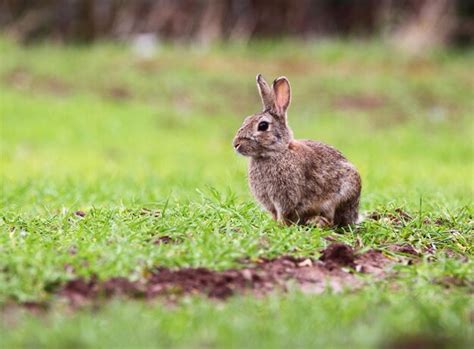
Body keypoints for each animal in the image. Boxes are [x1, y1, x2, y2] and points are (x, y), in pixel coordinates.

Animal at [231, 73, 362, 227]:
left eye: (263, 126)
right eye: (246, 120)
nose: (236, 144)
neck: (276, 153)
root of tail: (354, 215)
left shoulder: (286, 197)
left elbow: (283, 214)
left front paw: (280, 226)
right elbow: (274, 214)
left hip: (341, 196)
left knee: (332, 221)